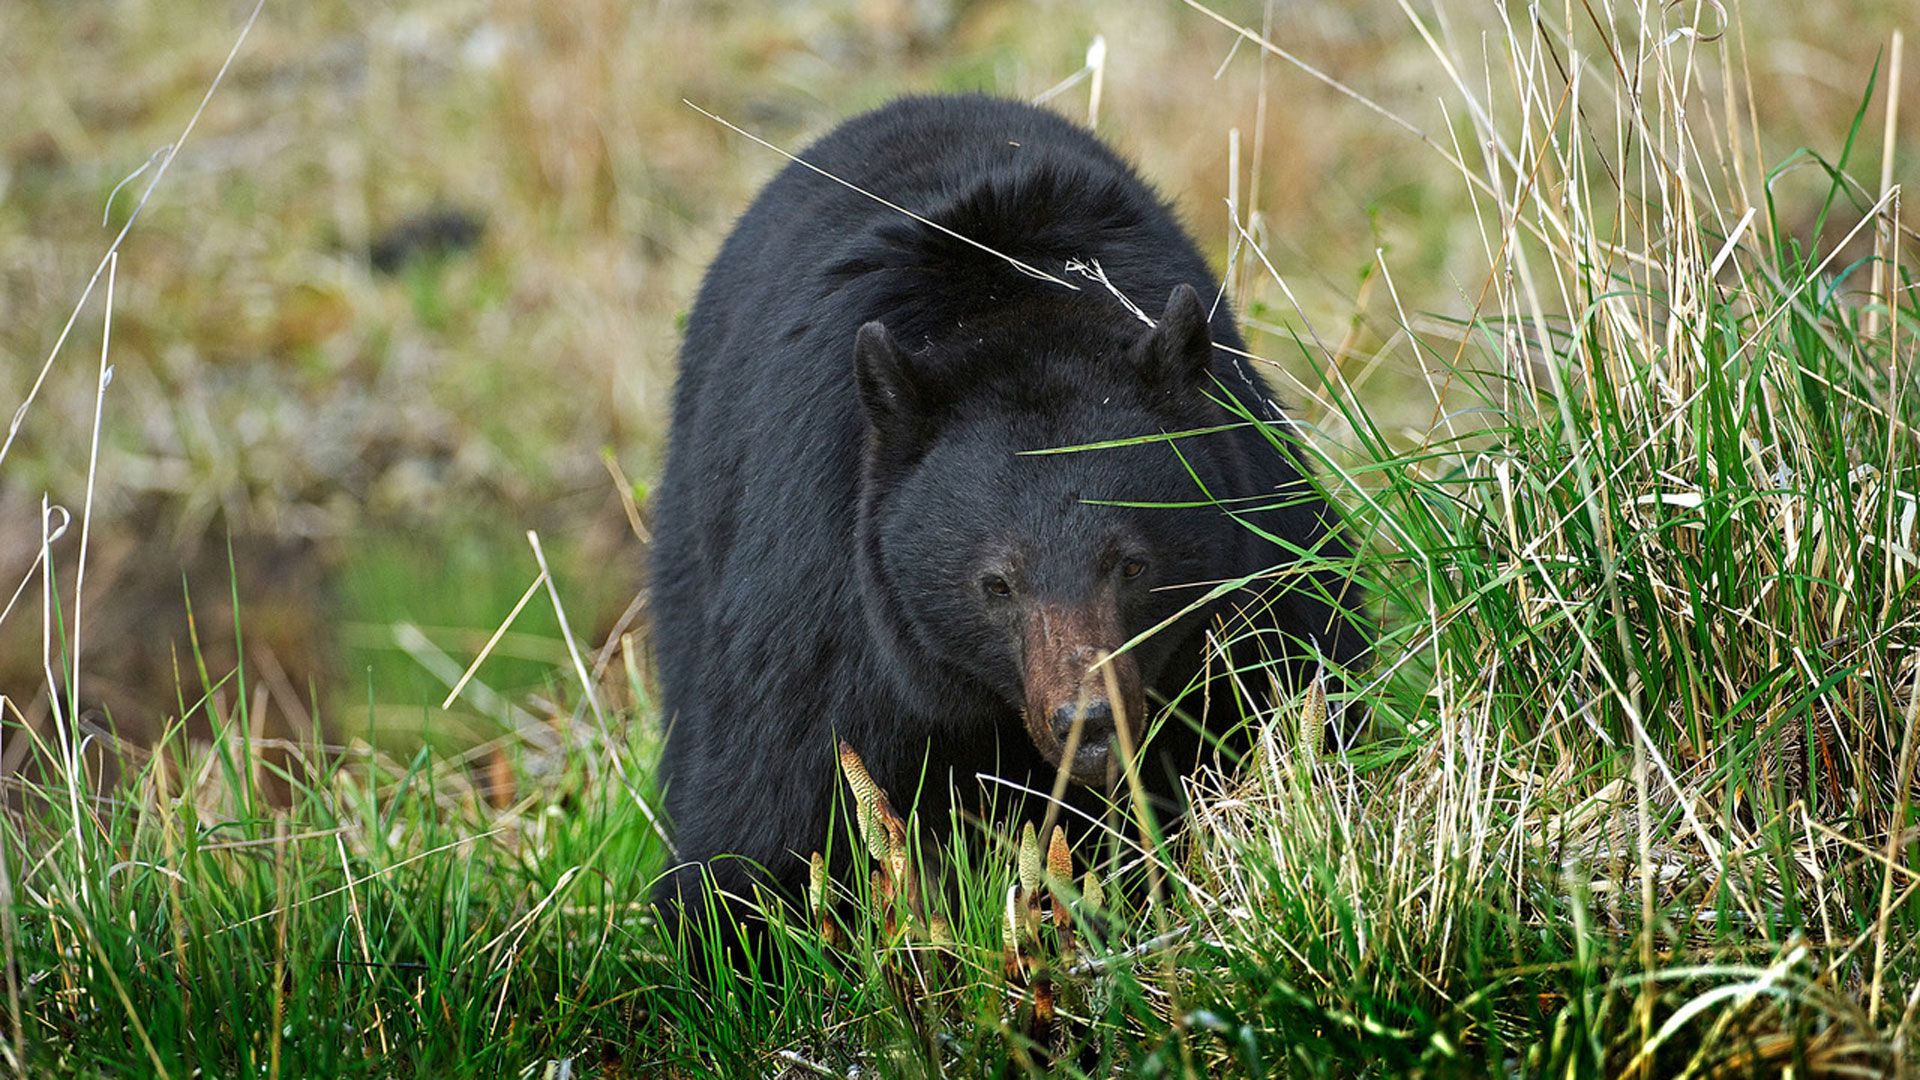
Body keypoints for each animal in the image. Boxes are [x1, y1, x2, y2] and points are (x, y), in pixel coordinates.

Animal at [648, 92, 1367, 945]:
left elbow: (1294, 684)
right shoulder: (824, 587)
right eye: (997, 584)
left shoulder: (1256, 553)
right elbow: (769, 808)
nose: (1088, 721)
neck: (1007, 310)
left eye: (1133, 564)